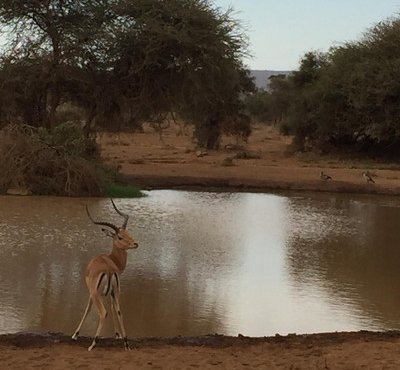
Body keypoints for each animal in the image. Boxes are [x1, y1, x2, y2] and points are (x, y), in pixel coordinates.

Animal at [72, 199, 139, 350]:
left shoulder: (91, 293)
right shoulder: (112, 293)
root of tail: (108, 269)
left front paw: (75, 335)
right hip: (116, 291)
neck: (111, 259)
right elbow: (115, 309)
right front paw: (117, 335)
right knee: (119, 311)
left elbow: (87, 309)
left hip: (97, 294)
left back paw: (93, 344)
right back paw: (126, 343)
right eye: (121, 236)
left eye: (127, 234)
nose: (135, 243)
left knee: (103, 313)